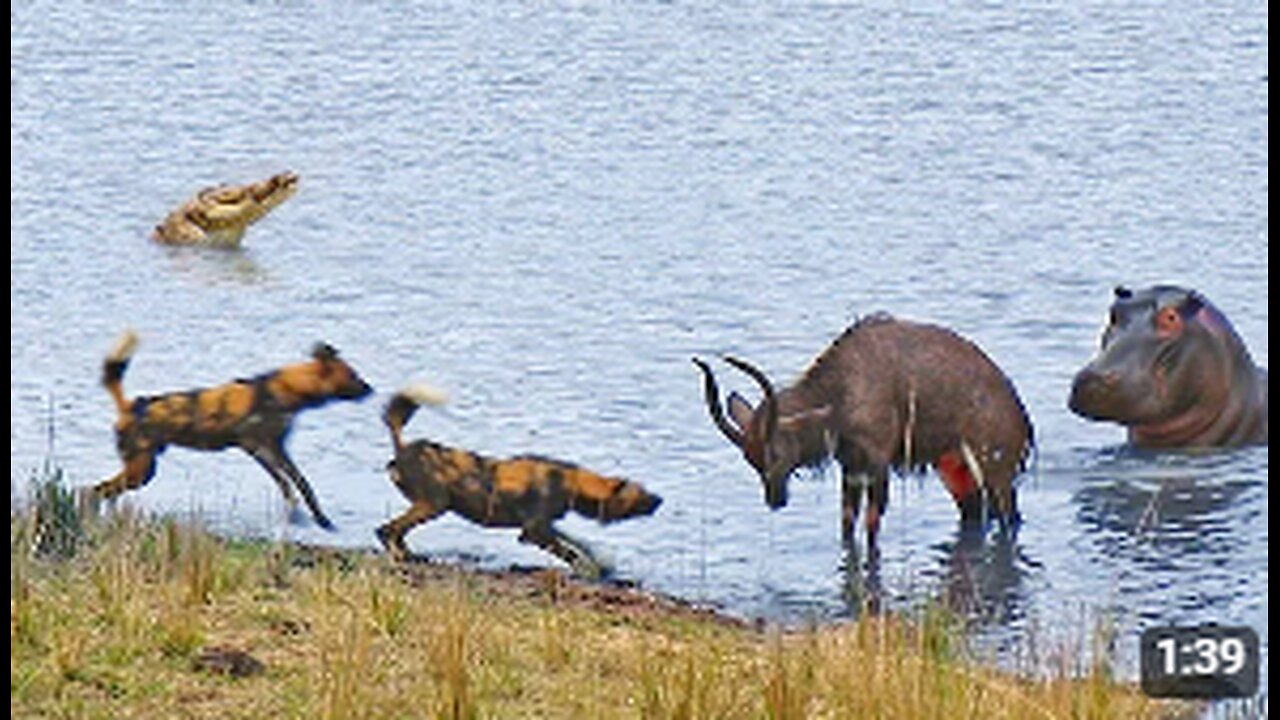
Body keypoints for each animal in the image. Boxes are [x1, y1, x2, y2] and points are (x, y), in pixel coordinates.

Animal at [92, 330, 373, 527]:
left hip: (141, 470)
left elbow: (300, 484)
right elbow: (288, 483)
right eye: (352, 375)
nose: (371, 388)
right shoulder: (258, 448)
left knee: (106, 492)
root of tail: (130, 405)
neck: (284, 390)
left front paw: (318, 519)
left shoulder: (276, 448)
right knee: (95, 490)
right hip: (141, 471)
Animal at [376, 384, 660, 573]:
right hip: (435, 505)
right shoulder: (535, 531)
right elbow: (571, 552)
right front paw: (591, 570)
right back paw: (401, 559)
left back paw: (411, 557)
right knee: (386, 530)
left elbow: (580, 544)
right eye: (640, 493)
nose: (660, 500)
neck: (574, 483)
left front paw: (600, 564)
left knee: (395, 532)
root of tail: (403, 448)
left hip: (429, 506)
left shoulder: (543, 527)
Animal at [696, 313, 1034, 543]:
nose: (775, 499)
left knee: (1010, 518)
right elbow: (847, 524)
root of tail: (1024, 424)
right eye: (750, 459)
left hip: (996, 475)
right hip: (957, 473)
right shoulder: (851, 467)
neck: (839, 397)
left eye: (775, 452)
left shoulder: (878, 463)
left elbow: (872, 527)